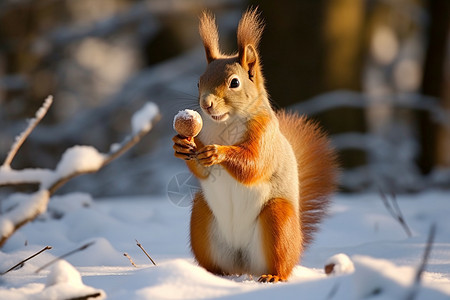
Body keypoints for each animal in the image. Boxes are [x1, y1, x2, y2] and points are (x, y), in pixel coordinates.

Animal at [172, 8, 338, 282]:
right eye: (199, 82)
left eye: (235, 83)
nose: (206, 103)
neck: (225, 124)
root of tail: (244, 264)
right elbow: (202, 170)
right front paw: (181, 145)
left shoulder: (265, 136)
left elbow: (253, 165)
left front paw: (218, 153)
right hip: (201, 216)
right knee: (218, 263)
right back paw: (210, 275)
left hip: (277, 219)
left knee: (281, 263)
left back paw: (273, 276)